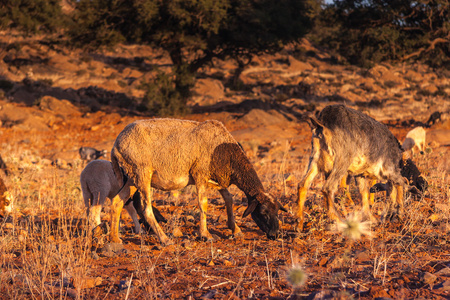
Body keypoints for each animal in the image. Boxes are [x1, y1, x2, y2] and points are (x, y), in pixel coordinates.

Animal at [110, 118, 284, 245]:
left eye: (277, 211)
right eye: (263, 212)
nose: (274, 235)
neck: (224, 150)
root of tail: (116, 144)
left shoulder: (217, 178)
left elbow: (229, 198)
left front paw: (235, 229)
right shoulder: (200, 174)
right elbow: (203, 204)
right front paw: (206, 234)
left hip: (132, 177)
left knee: (117, 202)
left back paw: (115, 238)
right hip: (142, 172)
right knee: (146, 209)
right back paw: (164, 239)